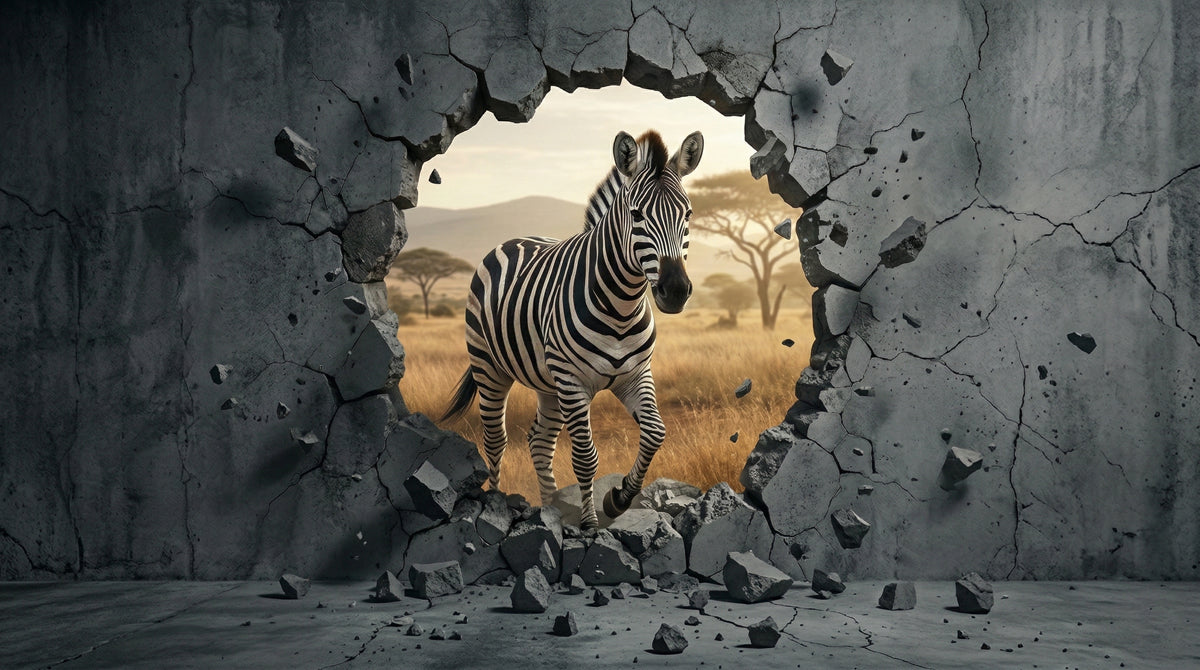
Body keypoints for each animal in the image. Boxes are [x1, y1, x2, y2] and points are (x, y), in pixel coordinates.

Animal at [442, 129, 704, 530]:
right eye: (636, 215)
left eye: (687, 213)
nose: (675, 290)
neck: (621, 306)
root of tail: (516, 238)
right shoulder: (573, 381)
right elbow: (585, 456)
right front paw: (591, 524)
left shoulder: (635, 374)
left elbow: (655, 432)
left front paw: (618, 499)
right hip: (491, 367)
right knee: (496, 439)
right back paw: (497, 504)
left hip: (549, 385)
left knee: (539, 441)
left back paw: (552, 507)